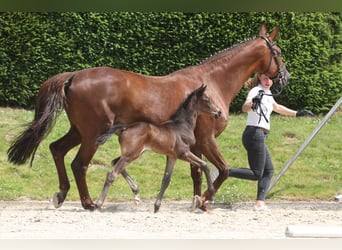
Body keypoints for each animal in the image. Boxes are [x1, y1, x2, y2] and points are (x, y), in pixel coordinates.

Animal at [6, 23, 288, 211]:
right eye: (278, 51)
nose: (285, 77)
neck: (211, 81)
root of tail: (74, 75)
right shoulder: (207, 139)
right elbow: (223, 169)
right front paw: (205, 201)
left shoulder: (193, 144)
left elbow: (197, 172)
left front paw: (197, 201)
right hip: (93, 134)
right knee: (79, 164)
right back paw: (89, 202)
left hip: (78, 131)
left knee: (57, 149)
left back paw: (62, 194)